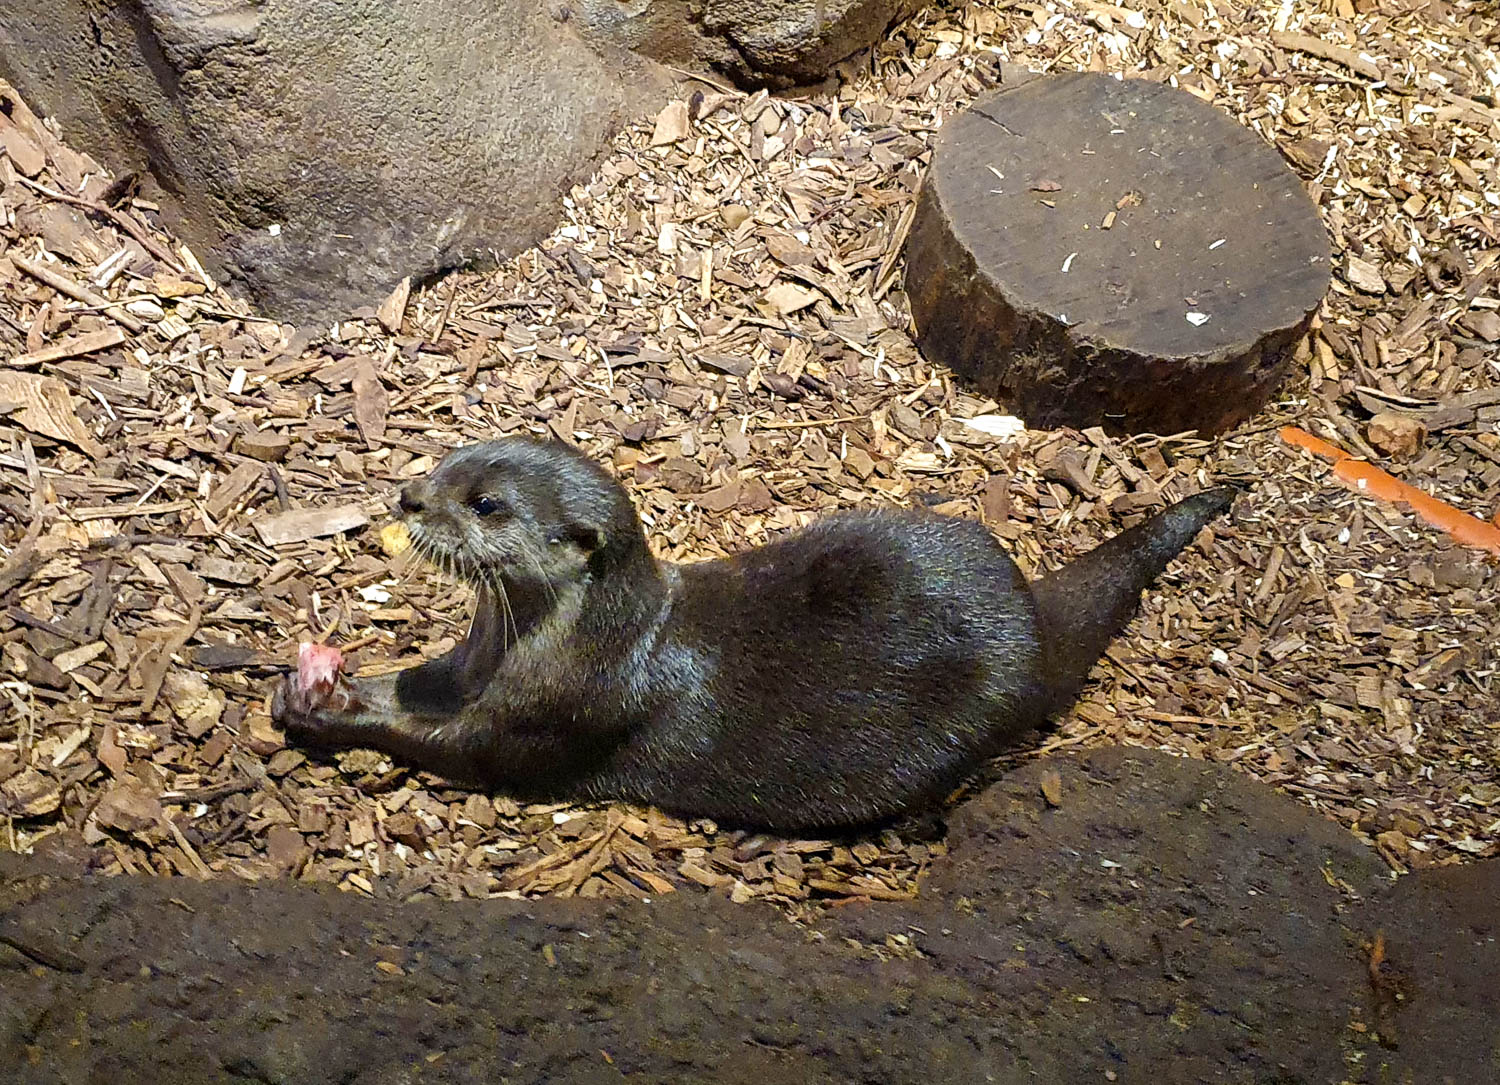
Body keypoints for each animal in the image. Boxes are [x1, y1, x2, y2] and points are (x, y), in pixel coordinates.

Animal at [272, 437, 1234, 832]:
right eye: (450, 461)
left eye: (485, 504)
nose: (409, 496)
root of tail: (1029, 618)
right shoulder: (471, 667)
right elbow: (420, 684)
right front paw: (327, 679)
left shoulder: (551, 715)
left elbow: (456, 744)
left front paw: (331, 713)